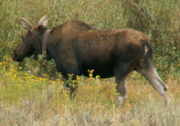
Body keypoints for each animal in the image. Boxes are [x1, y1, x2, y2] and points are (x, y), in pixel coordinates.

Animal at [13, 15, 169, 107]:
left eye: (23, 37)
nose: (15, 53)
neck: (51, 46)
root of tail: (146, 42)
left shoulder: (71, 73)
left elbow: (71, 95)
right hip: (144, 65)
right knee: (162, 88)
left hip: (122, 69)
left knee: (122, 97)